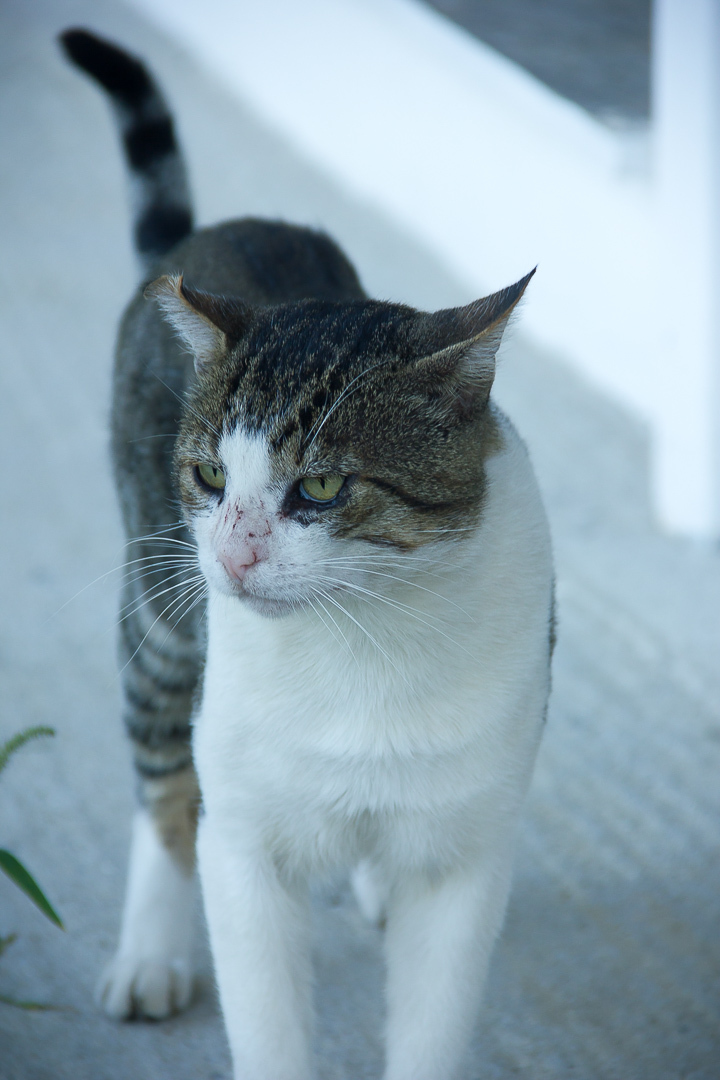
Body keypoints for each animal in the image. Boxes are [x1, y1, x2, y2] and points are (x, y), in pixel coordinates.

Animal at [62, 29, 557, 1080]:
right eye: (211, 474)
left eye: (322, 488)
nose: (235, 555)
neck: (364, 641)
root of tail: (206, 233)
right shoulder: (247, 840)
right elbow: (265, 1011)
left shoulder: (469, 851)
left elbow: (433, 1017)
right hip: (159, 602)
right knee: (162, 775)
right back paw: (151, 950)